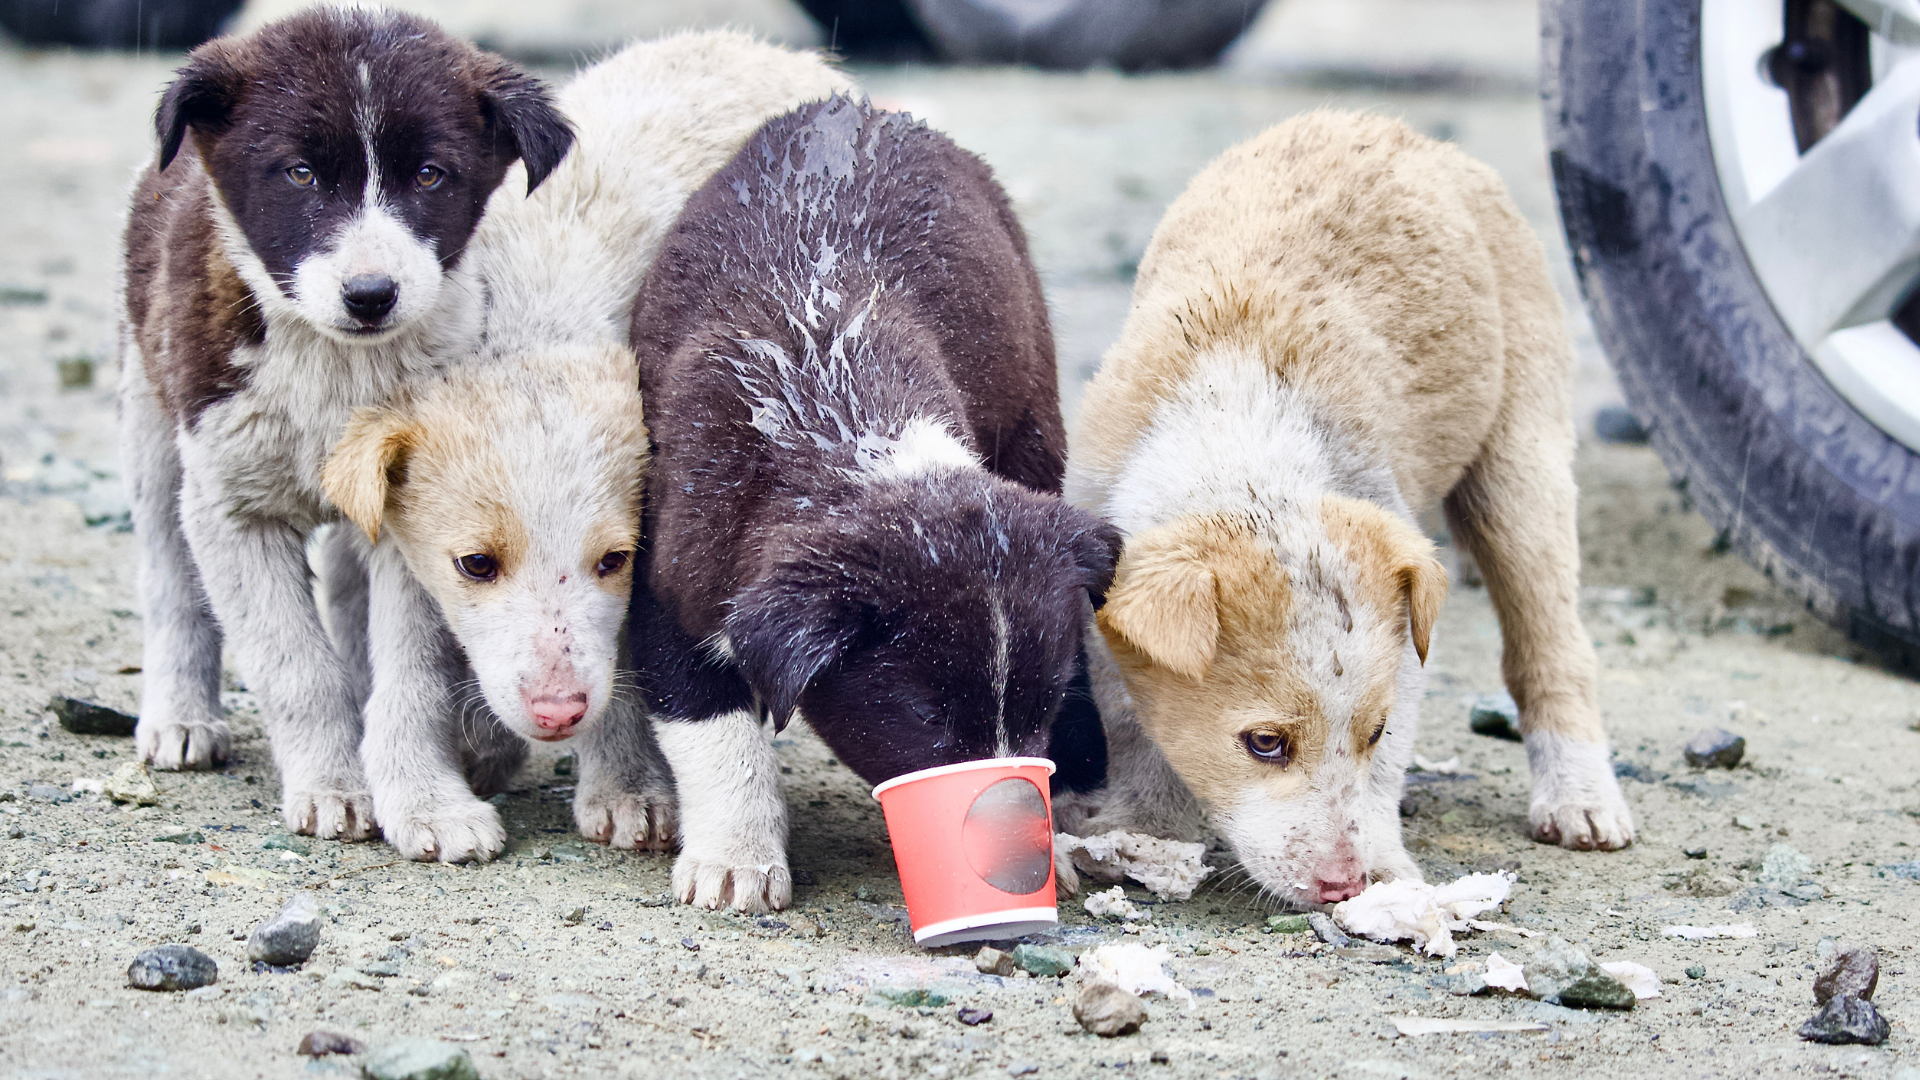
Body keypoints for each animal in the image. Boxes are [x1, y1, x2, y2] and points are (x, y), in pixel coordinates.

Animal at [119, 10, 564, 841]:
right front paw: (332, 785)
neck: (338, 367)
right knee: (168, 576)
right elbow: (295, 666)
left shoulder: (415, 512)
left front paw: (425, 799)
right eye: (299, 174)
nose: (370, 295)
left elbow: (414, 673)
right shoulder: (234, 506)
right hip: (151, 417)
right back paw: (180, 715)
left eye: (430, 176)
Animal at [318, 31, 852, 857]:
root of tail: (759, 44)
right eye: (476, 564)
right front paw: (433, 790)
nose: (558, 712)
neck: (540, 315)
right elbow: (412, 650)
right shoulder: (403, 530)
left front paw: (628, 787)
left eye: (612, 559)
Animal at [629, 96, 1121, 910]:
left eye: (1038, 709)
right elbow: (711, 723)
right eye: (925, 716)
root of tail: (865, 108)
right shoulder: (670, 576)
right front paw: (736, 856)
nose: (1009, 842)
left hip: (1032, 415)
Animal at [1067, 109, 1635, 903]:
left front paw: (1387, 866)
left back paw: (1580, 795)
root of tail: (1394, 128)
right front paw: (1143, 825)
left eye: (1373, 733)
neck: (1243, 449)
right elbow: (1129, 722)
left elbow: (1383, 770)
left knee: (1550, 642)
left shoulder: (1405, 646)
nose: (1343, 884)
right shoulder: (1105, 595)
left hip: (1523, 455)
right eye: (1265, 744)